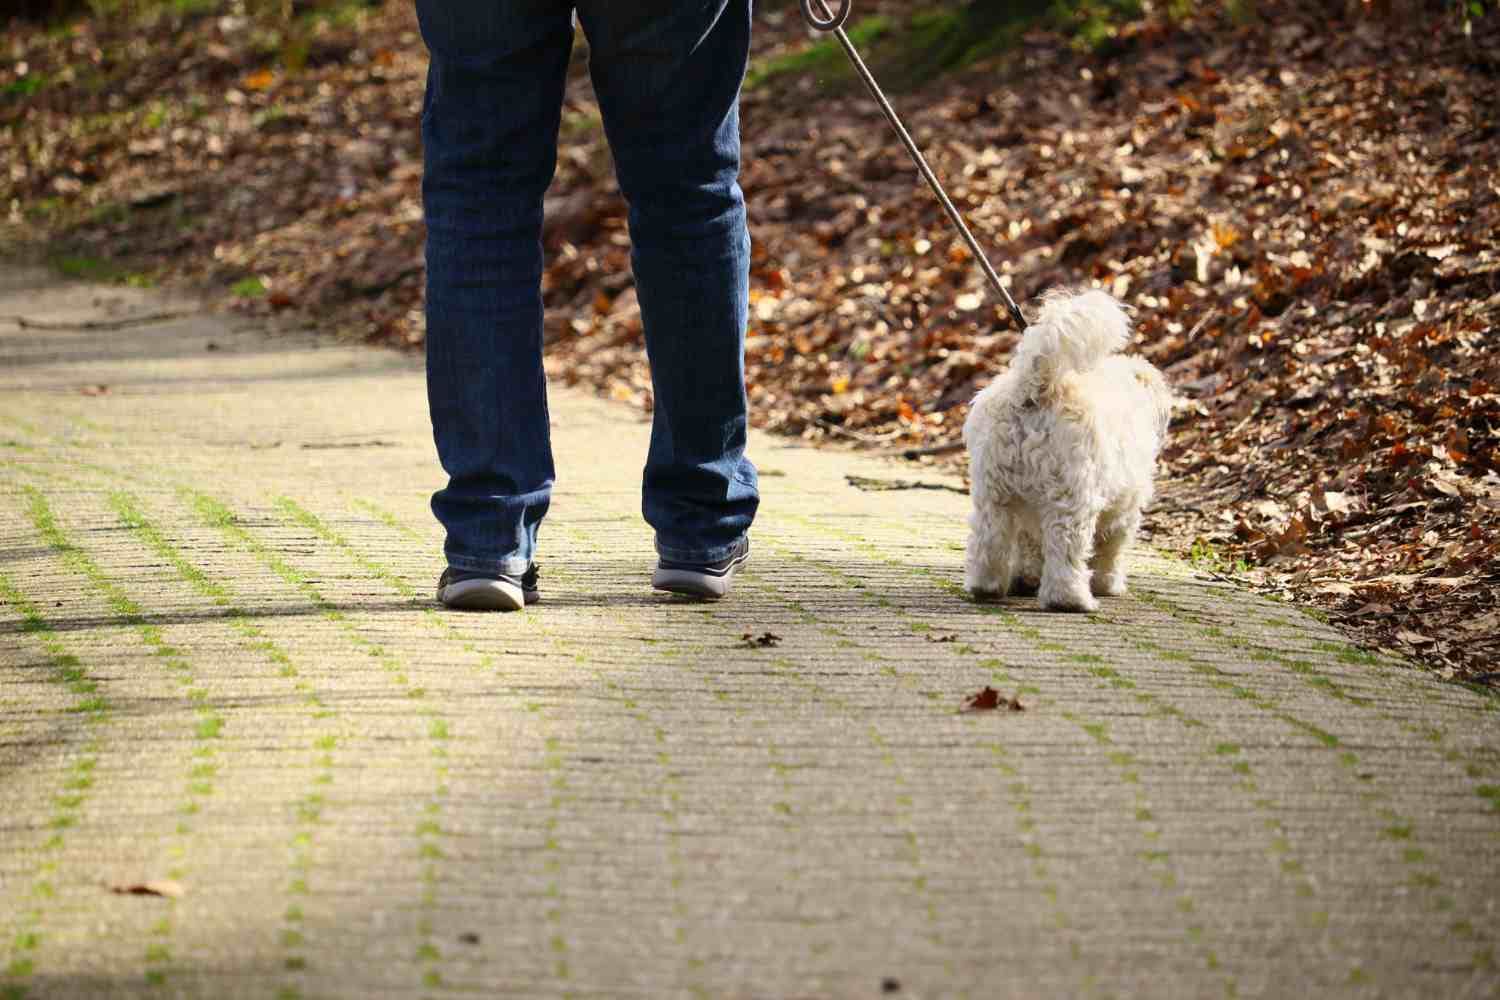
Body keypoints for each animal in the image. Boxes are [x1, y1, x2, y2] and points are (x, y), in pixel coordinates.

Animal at [966, 289, 1176, 614]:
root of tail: (1034, 389)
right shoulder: (1124, 509)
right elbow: (1110, 549)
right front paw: (1108, 584)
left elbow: (1030, 544)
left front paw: (1027, 578)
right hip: (1071, 495)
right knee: (1067, 547)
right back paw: (1070, 599)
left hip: (994, 492)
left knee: (988, 536)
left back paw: (985, 586)